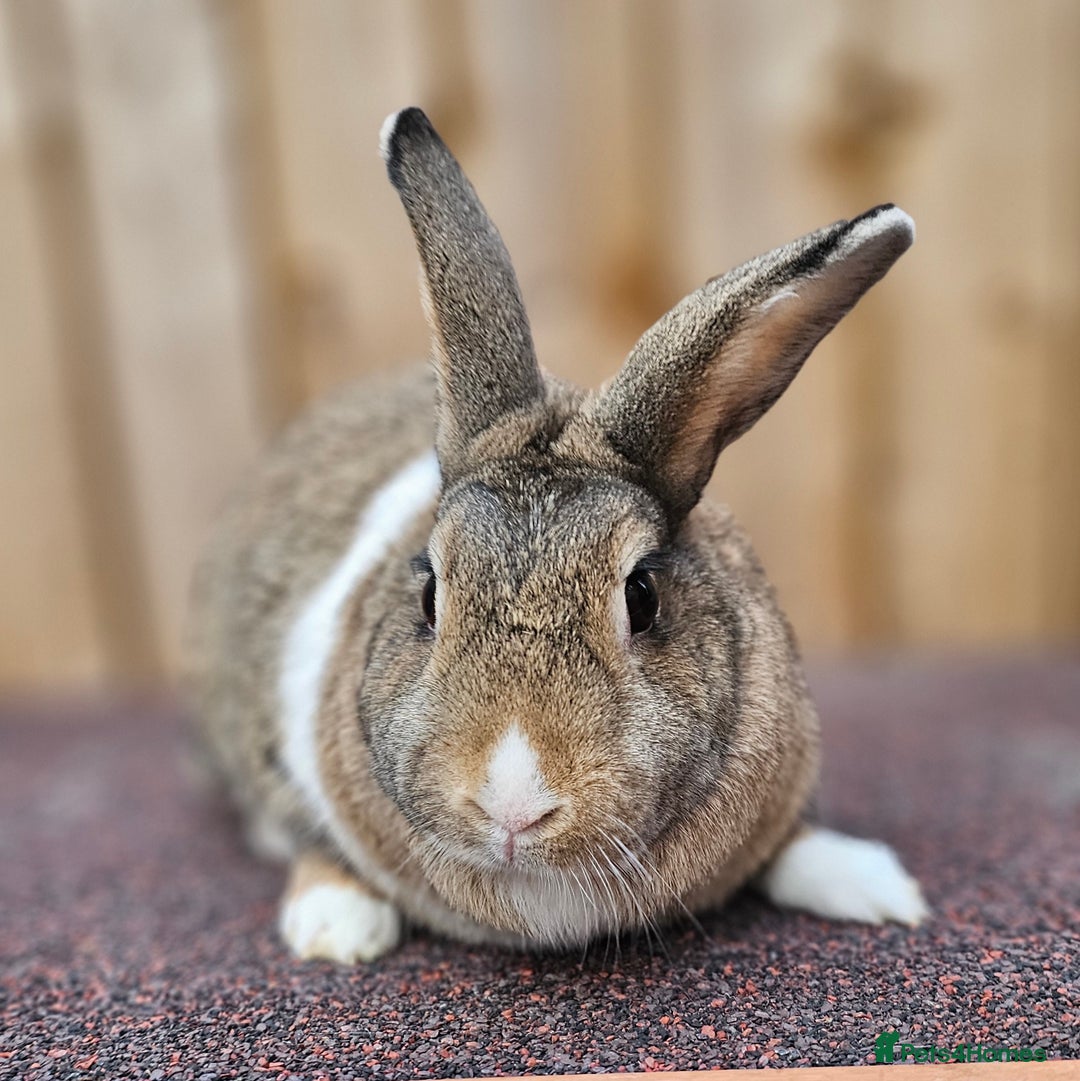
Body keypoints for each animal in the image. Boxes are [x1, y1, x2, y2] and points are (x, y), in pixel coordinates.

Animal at [187, 107, 928, 964]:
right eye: (429, 594)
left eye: (642, 596)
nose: (514, 808)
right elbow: (313, 838)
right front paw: (335, 928)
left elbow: (792, 842)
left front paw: (879, 887)